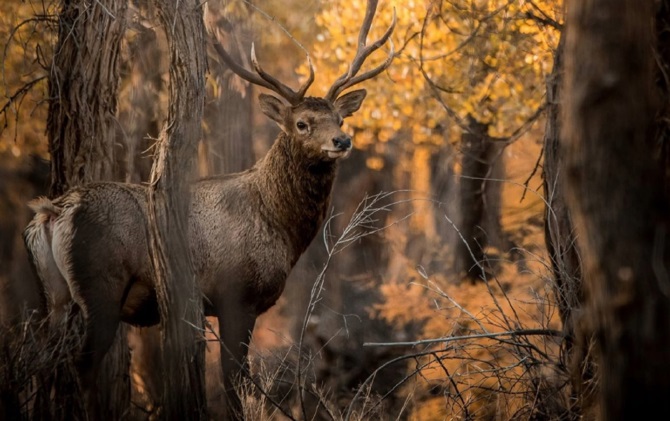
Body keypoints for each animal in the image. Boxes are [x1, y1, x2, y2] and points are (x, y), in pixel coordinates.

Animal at [23, 0, 396, 416]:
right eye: (302, 123)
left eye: (341, 118)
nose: (342, 140)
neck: (280, 227)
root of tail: (52, 212)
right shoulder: (237, 295)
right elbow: (234, 380)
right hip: (100, 284)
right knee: (81, 365)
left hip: (52, 293)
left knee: (45, 363)